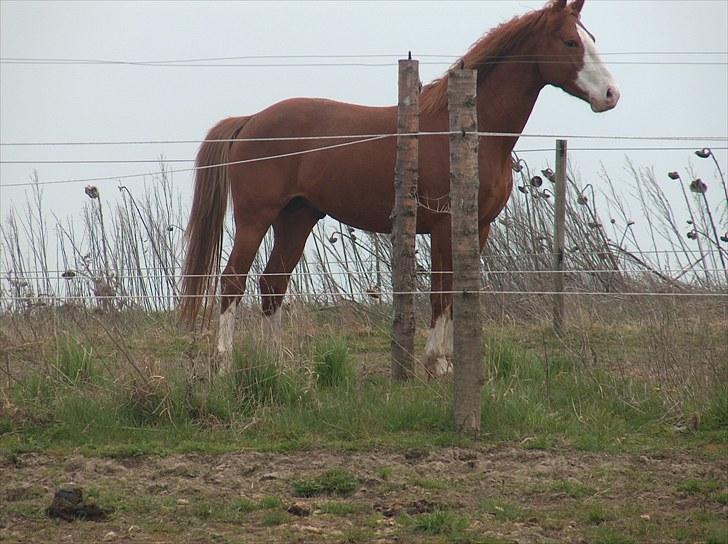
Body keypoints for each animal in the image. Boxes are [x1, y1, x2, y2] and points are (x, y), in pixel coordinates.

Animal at [181, 0, 620, 374]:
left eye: (593, 39)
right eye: (570, 42)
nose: (611, 95)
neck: (464, 131)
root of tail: (250, 120)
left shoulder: (478, 227)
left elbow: (457, 292)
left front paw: (449, 362)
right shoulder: (443, 226)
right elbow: (441, 291)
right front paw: (436, 364)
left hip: (296, 219)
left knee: (272, 284)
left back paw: (278, 364)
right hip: (256, 218)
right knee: (232, 281)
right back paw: (223, 365)